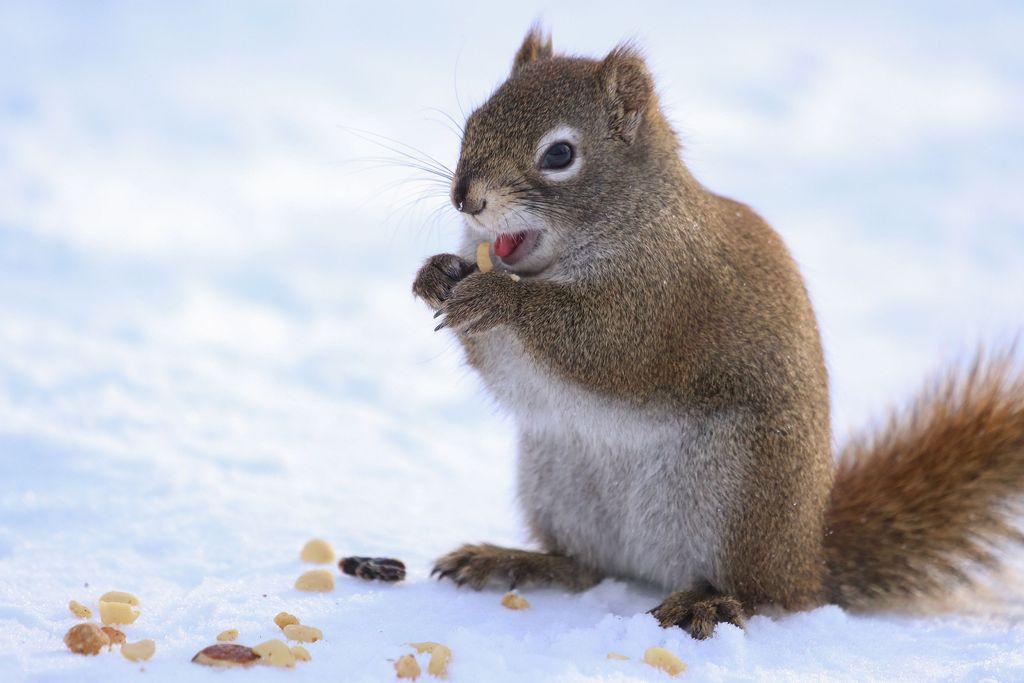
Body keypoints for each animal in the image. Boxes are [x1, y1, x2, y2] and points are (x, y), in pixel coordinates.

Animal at [412, 25, 1024, 639]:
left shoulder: (667, 299)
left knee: (760, 592)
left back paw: (705, 603)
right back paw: (513, 561)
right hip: (557, 480)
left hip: (738, 496)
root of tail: (808, 560)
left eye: (559, 154)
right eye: (475, 121)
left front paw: (500, 298)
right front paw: (436, 274)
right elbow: (505, 370)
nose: (466, 198)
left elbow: (604, 347)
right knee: (585, 565)